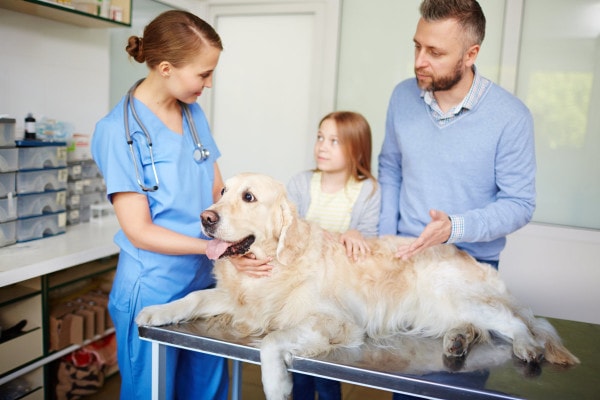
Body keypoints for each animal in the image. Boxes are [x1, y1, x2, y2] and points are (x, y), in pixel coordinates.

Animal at [137, 172, 580, 400]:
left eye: (248, 197)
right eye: (222, 191)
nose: (205, 217)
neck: (277, 263)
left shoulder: (336, 322)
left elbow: (272, 340)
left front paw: (277, 385)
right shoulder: (239, 300)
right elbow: (194, 296)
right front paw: (156, 311)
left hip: (461, 294)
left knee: (515, 323)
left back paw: (527, 347)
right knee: (474, 328)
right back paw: (457, 341)